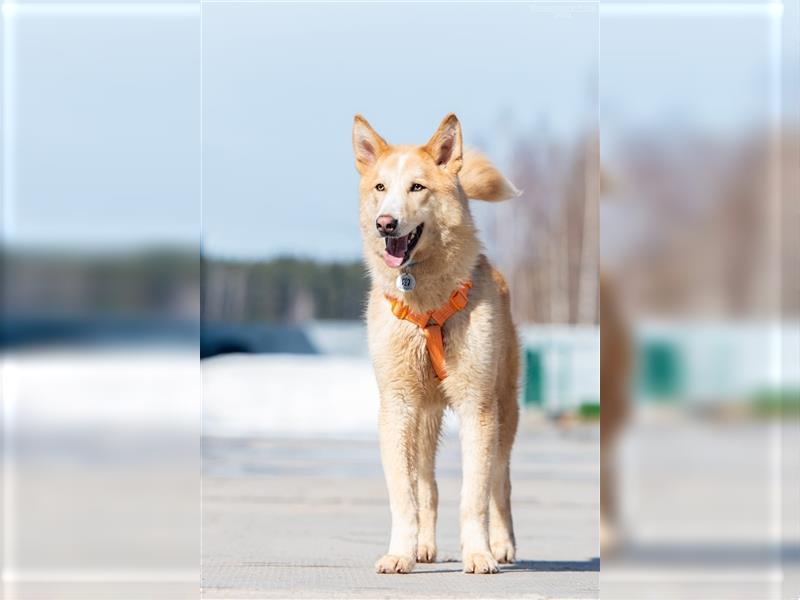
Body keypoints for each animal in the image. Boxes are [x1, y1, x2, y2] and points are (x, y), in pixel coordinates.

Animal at [354, 113, 520, 576]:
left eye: (417, 187)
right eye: (380, 187)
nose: (386, 223)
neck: (425, 302)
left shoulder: (477, 406)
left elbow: (474, 496)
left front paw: (479, 554)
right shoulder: (397, 406)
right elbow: (405, 497)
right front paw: (400, 553)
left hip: (505, 410)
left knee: (500, 482)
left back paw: (503, 545)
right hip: (424, 419)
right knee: (427, 486)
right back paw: (424, 548)